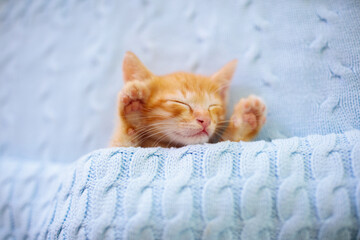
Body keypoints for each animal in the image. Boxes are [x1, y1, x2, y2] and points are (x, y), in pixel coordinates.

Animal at [111, 51, 266, 147]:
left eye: (213, 106)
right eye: (179, 102)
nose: (205, 120)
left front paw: (245, 122)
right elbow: (122, 146)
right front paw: (132, 117)